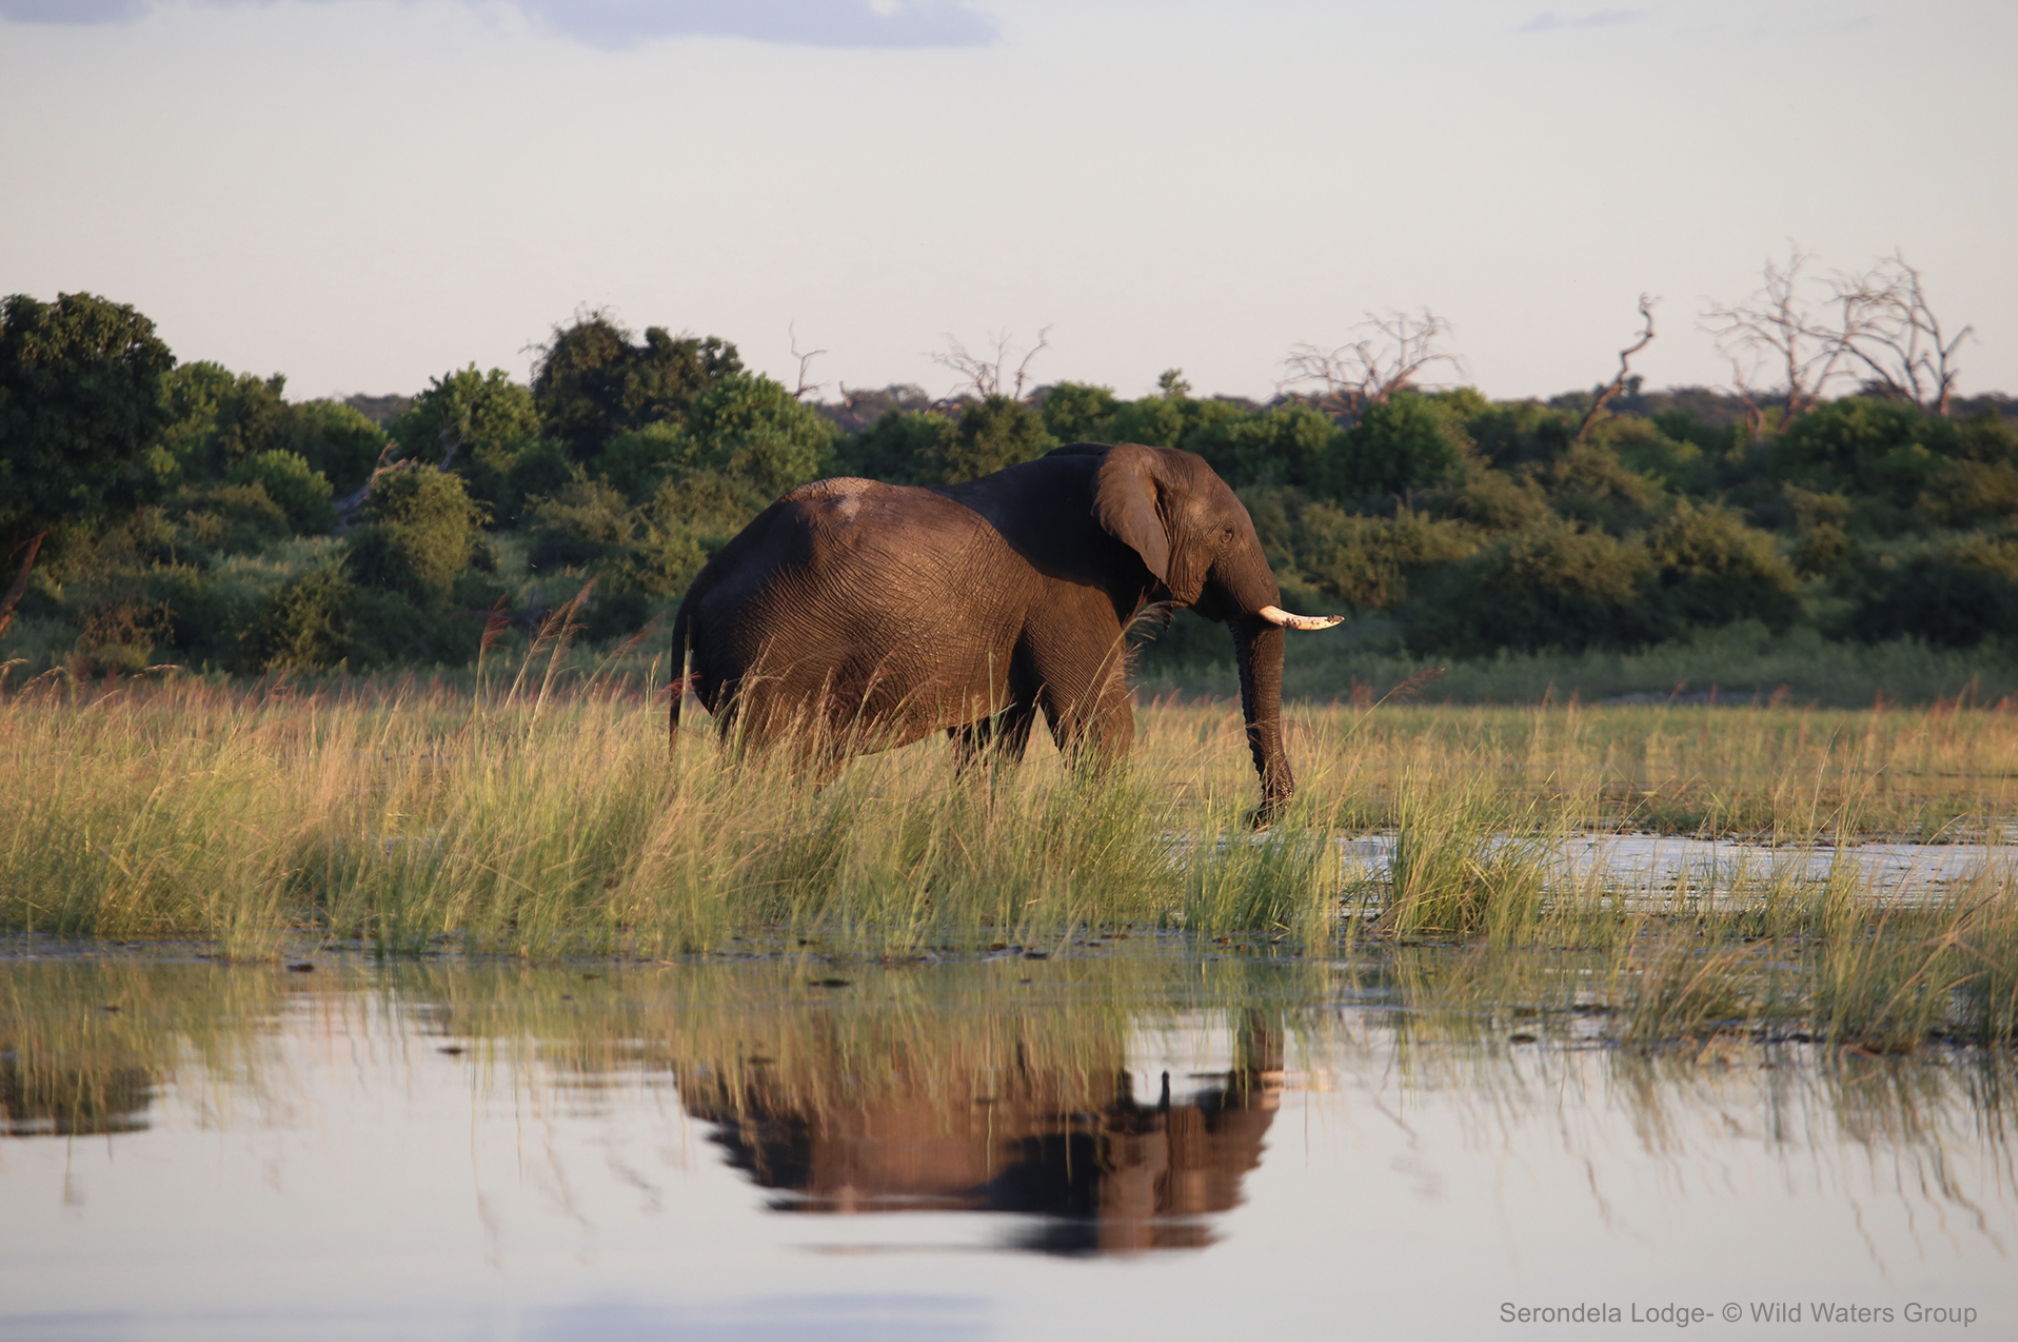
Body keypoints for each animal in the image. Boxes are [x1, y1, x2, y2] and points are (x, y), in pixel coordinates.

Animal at [669, 441, 1348, 815]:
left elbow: (992, 740)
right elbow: (1100, 721)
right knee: (772, 760)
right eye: (1229, 533)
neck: (1120, 460)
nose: (1256, 818)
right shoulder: (1067, 592)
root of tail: (696, 588)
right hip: (769, 651)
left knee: (800, 764)